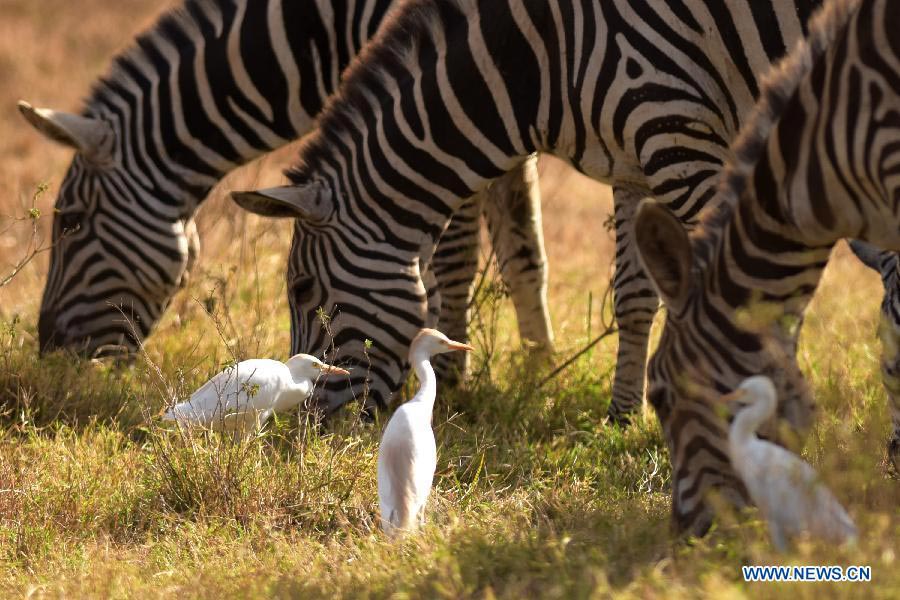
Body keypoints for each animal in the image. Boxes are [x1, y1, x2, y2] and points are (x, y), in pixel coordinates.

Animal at [21, 0, 552, 378]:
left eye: (71, 221)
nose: (50, 352)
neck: (323, 28)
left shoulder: (448, 118)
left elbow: (455, 260)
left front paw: (452, 375)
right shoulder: (490, 114)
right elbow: (523, 254)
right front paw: (538, 369)